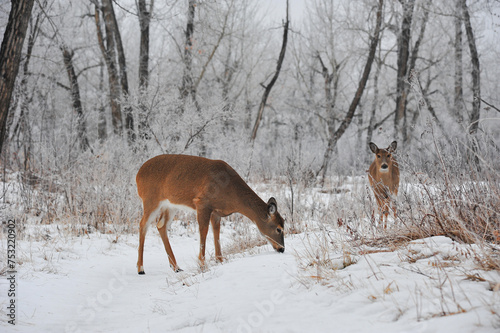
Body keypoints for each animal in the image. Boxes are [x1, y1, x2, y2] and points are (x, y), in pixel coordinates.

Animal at [136, 154, 286, 274]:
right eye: (278, 229)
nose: (282, 249)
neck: (230, 192)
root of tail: (138, 174)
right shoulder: (202, 203)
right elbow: (204, 231)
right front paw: (202, 265)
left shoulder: (217, 212)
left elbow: (216, 232)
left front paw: (220, 260)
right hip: (150, 199)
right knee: (143, 224)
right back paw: (141, 268)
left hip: (170, 205)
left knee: (161, 225)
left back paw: (176, 267)